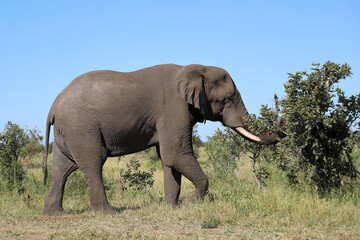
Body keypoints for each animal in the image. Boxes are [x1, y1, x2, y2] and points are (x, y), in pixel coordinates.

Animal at [43, 63, 282, 216]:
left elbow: (168, 158)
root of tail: (53, 106)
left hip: (69, 131)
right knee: (93, 164)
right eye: (229, 98)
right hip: (82, 128)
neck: (196, 68)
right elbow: (175, 152)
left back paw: (55, 214)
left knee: (62, 168)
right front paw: (190, 203)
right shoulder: (174, 108)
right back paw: (108, 213)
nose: (282, 134)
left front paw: (172, 208)